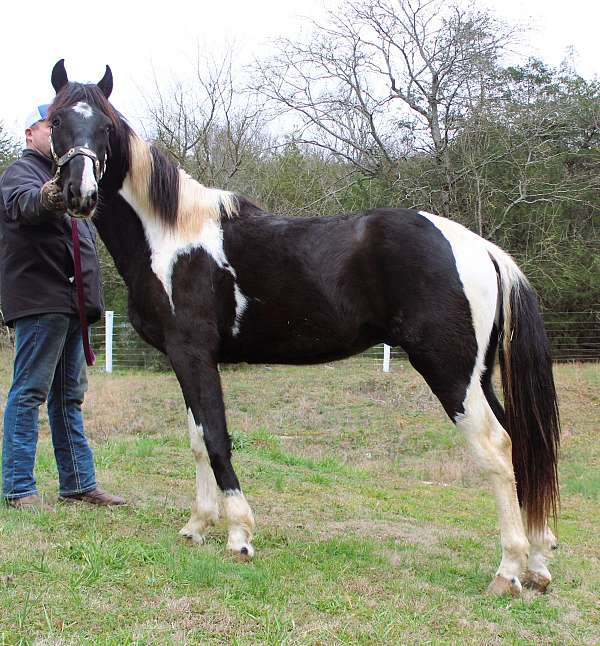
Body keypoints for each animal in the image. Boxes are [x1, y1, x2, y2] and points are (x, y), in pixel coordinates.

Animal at [45, 59, 556, 596]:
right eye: (57, 121)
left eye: (105, 128)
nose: (80, 193)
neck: (172, 238)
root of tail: (481, 248)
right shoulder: (185, 360)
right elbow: (198, 439)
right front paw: (197, 526)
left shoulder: (193, 354)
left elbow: (216, 438)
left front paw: (239, 535)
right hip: (477, 376)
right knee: (521, 445)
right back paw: (538, 564)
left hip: (452, 374)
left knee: (497, 449)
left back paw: (509, 570)